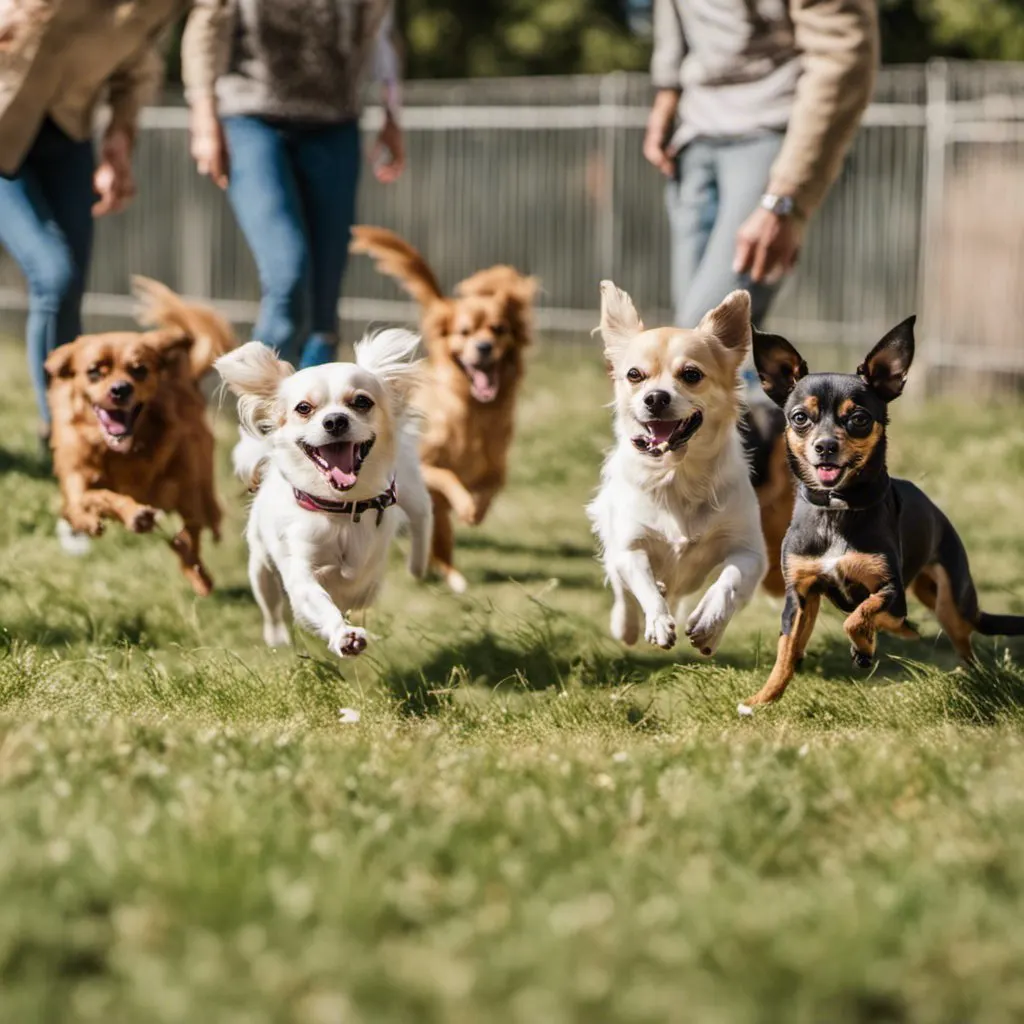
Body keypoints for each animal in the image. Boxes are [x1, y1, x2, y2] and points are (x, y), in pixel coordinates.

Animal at [45, 276, 234, 598]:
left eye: (139, 370)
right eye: (94, 371)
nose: (120, 389)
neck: (120, 452)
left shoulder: (183, 481)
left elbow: (190, 530)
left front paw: (192, 562)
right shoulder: (76, 481)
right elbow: (93, 498)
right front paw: (124, 515)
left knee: (196, 523)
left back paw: (198, 569)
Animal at [218, 331, 434, 659]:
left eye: (361, 402)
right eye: (303, 408)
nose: (334, 420)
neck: (340, 508)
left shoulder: (369, 564)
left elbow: (358, 584)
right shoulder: (301, 569)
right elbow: (317, 599)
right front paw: (344, 635)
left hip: (408, 487)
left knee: (422, 513)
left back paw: (418, 566)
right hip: (260, 567)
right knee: (271, 606)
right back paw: (277, 637)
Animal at [350, 224, 536, 593]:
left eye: (499, 329)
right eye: (464, 332)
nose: (484, 346)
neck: (473, 413)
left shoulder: (497, 469)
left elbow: (488, 491)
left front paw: (475, 510)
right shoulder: (426, 466)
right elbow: (448, 478)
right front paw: (465, 505)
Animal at [589, 282, 765, 655]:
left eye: (691, 375)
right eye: (634, 375)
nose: (655, 397)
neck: (677, 473)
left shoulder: (750, 552)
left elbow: (729, 580)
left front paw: (710, 621)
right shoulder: (631, 547)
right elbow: (641, 582)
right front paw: (657, 620)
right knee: (624, 592)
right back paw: (628, 623)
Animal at [737, 315, 1024, 708]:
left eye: (859, 419)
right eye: (799, 418)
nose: (825, 446)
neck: (838, 507)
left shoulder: (891, 590)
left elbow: (859, 617)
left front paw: (865, 644)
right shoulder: (800, 596)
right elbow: (787, 651)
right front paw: (761, 700)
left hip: (952, 602)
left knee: (961, 643)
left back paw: (964, 673)